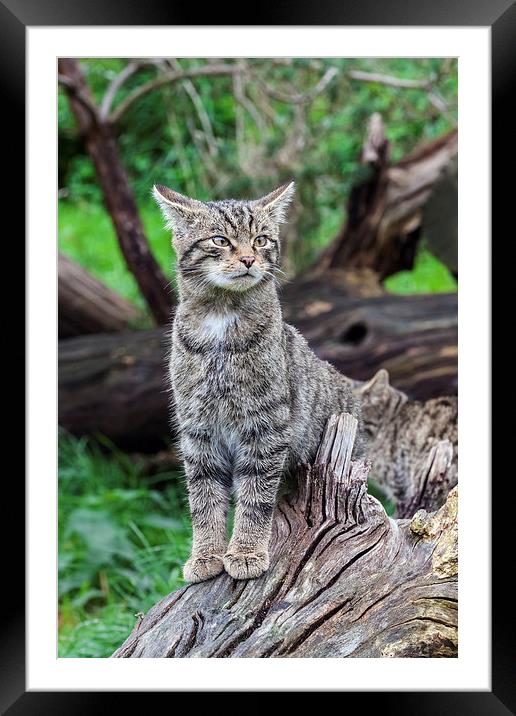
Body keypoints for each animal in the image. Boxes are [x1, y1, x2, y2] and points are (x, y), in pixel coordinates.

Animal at [153, 183, 362, 580]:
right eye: (220, 240)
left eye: (261, 239)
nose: (250, 259)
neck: (221, 320)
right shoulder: (198, 430)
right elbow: (203, 498)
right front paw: (206, 555)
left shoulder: (265, 427)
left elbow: (255, 496)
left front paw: (246, 551)